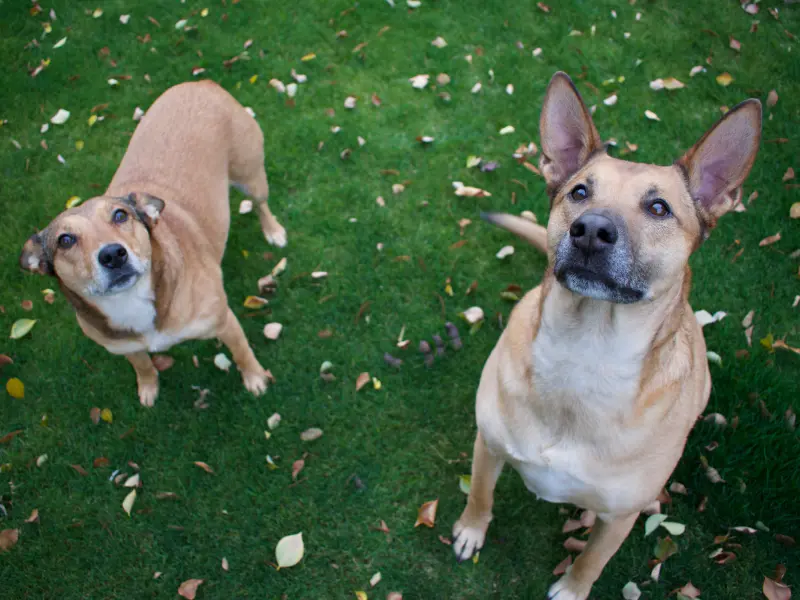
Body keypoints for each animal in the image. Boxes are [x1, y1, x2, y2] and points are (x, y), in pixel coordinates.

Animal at [18, 79, 290, 408]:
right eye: (65, 240)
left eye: (120, 215)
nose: (113, 255)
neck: (132, 301)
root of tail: (201, 82)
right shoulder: (125, 348)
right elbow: (143, 365)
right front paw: (148, 387)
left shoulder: (225, 322)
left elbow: (242, 353)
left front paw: (255, 378)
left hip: (250, 176)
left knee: (261, 204)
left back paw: (273, 230)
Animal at [454, 72, 760, 596]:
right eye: (579, 192)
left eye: (659, 207)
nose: (591, 230)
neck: (584, 353)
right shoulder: (487, 447)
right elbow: (479, 494)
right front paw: (471, 529)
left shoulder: (618, 518)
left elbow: (593, 559)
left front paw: (573, 588)